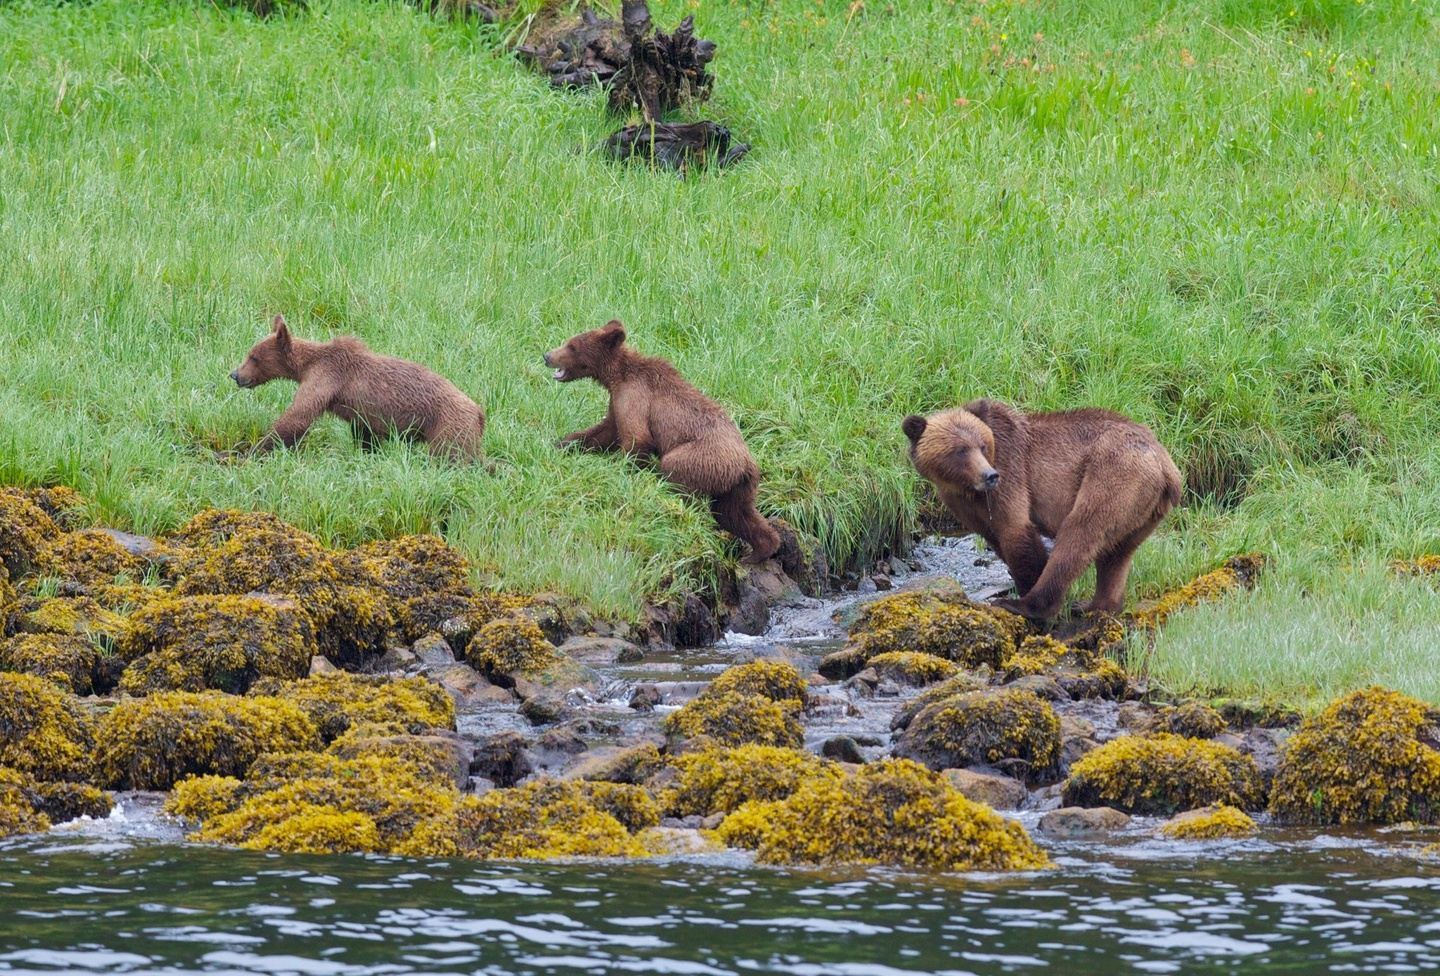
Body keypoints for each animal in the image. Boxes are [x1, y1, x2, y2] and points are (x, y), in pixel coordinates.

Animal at [230, 315, 486, 461]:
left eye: (253, 357)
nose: (235, 375)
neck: (305, 367)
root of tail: (479, 411)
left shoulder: (326, 377)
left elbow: (297, 417)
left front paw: (250, 451)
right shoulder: (360, 412)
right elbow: (365, 435)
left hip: (448, 425)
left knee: (451, 457)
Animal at [544, 319, 781, 562]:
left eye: (572, 346)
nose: (547, 355)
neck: (616, 376)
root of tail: (746, 463)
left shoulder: (635, 396)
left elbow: (636, 438)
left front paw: (619, 469)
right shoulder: (617, 402)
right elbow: (603, 432)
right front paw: (560, 443)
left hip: (704, 458)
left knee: (678, 474)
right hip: (738, 487)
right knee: (735, 514)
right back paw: (760, 550)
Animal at [902, 399, 1182, 621]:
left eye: (982, 445)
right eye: (960, 450)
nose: (990, 476)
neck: (965, 488)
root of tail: (1167, 465)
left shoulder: (1010, 471)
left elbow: (1015, 530)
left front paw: (1023, 587)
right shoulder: (963, 505)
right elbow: (994, 536)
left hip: (1112, 472)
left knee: (1080, 532)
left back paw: (1027, 605)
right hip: (1142, 509)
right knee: (1117, 554)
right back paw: (1097, 605)